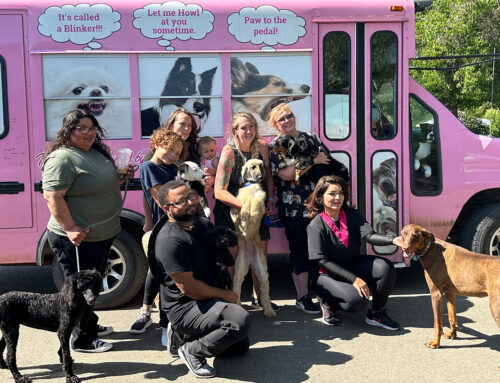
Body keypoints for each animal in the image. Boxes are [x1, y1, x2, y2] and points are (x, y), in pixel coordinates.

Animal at [231, 159, 278, 318]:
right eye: (252, 167)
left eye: (261, 166)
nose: (259, 177)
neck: (251, 186)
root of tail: (251, 260)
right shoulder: (239, 199)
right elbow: (242, 204)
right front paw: (241, 217)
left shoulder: (260, 198)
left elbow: (255, 203)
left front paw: (251, 215)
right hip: (239, 269)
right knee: (236, 288)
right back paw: (237, 305)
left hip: (262, 270)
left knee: (265, 293)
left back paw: (269, 310)